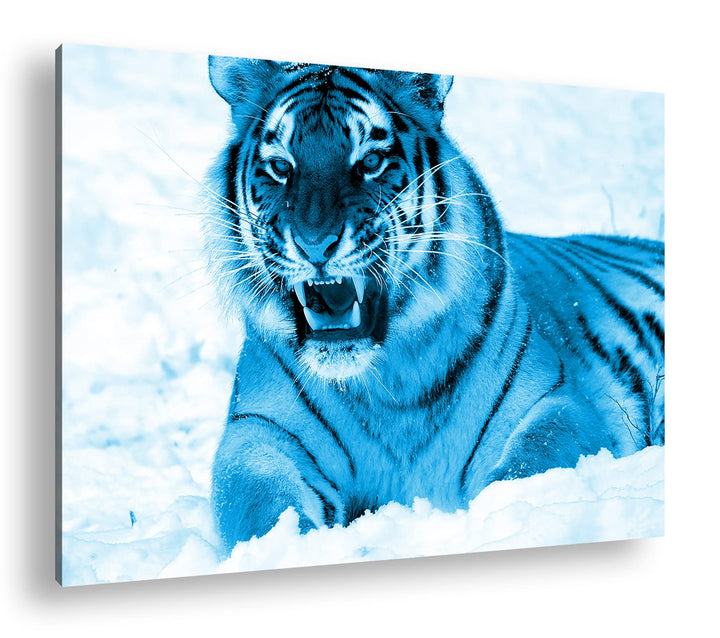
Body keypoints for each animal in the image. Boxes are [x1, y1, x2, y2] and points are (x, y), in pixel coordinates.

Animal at [203, 55, 665, 554]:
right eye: (280, 167)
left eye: (370, 161)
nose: (314, 245)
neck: (388, 385)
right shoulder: (259, 431)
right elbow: (259, 504)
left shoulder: (549, 400)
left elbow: (532, 464)